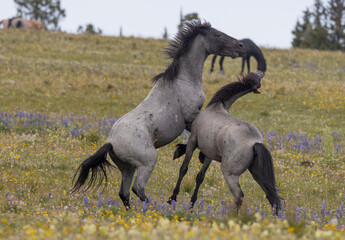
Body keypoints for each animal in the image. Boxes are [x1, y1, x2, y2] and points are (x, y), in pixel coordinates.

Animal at [70, 20, 242, 210]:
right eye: (217, 35)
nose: (240, 46)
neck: (184, 79)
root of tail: (111, 143)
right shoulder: (191, 117)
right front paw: (183, 152)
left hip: (127, 168)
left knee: (124, 193)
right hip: (148, 163)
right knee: (138, 188)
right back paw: (158, 208)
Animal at [168, 71, 280, 212]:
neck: (216, 107)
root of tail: (255, 143)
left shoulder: (193, 141)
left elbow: (183, 168)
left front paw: (173, 197)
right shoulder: (209, 154)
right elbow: (200, 177)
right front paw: (192, 203)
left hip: (230, 174)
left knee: (239, 197)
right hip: (257, 173)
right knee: (272, 197)